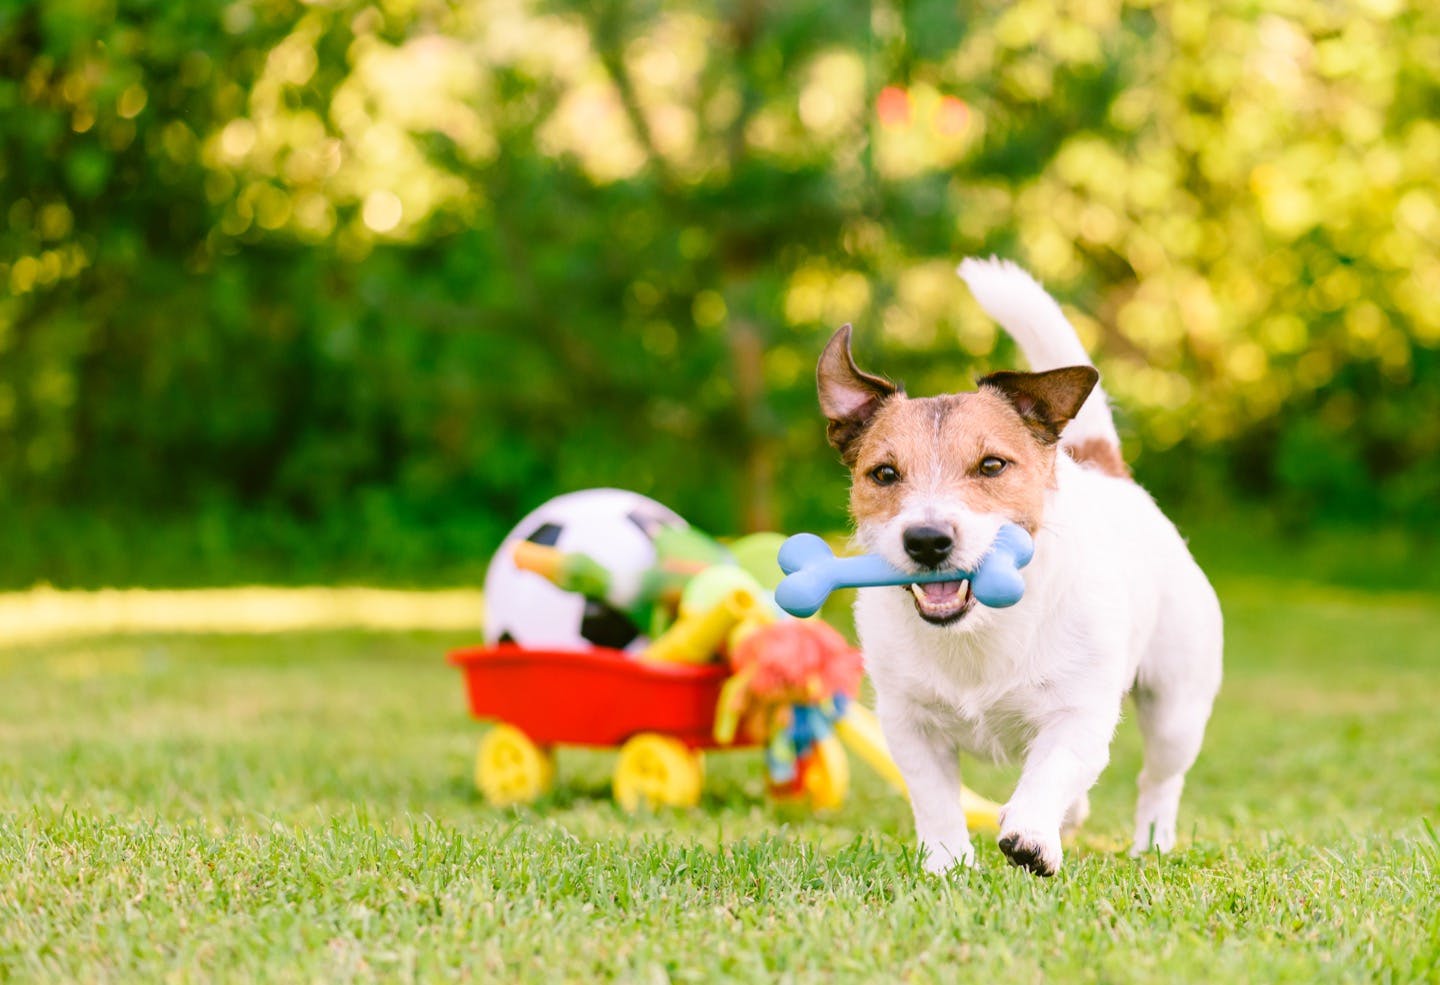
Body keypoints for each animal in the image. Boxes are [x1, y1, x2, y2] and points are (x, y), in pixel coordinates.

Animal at [817, 257, 1221, 875]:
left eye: (991, 465)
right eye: (883, 474)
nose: (927, 540)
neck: (980, 631)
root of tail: (1109, 472)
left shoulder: (1078, 714)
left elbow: (1052, 771)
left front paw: (1031, 835)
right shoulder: (910, 725)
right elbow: (935, 800)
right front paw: (947, 864)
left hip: (1176, 705)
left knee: (1158, 780)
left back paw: (1149, 842)